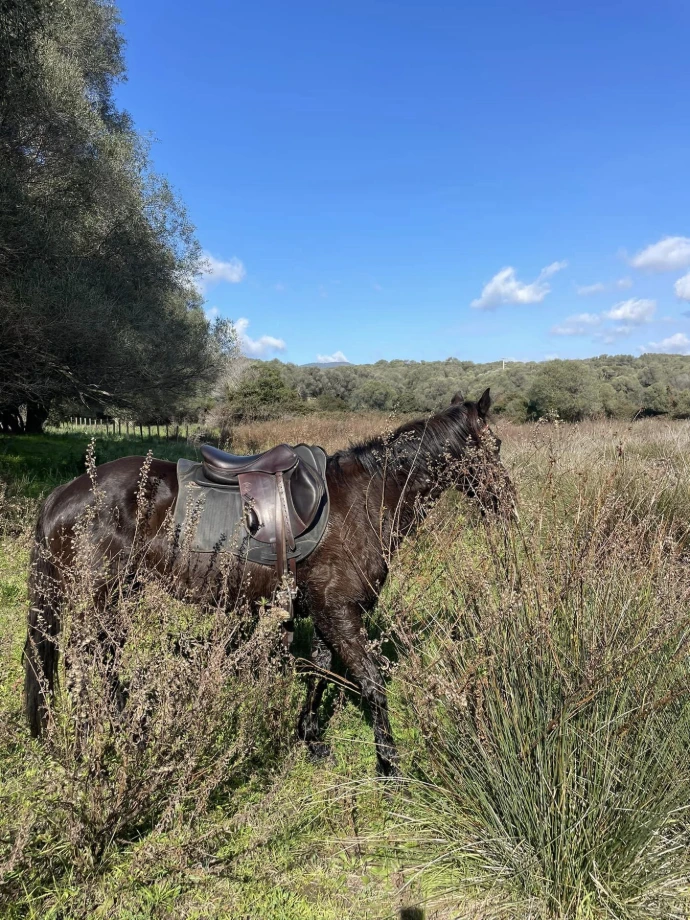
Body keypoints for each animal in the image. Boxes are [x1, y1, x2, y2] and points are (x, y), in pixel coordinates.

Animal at [24, 388, 512, 776]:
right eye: (497, 443)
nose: (507, 505)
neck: (365, 499)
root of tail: (65, 493)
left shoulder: (326, 612)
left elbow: (320, 671)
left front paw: (311, 736)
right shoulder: (339, 611)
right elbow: (372, 683)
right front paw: (389, 765)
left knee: (101, 660)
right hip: (101, 598)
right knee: (87, 662)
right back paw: (106, 738)